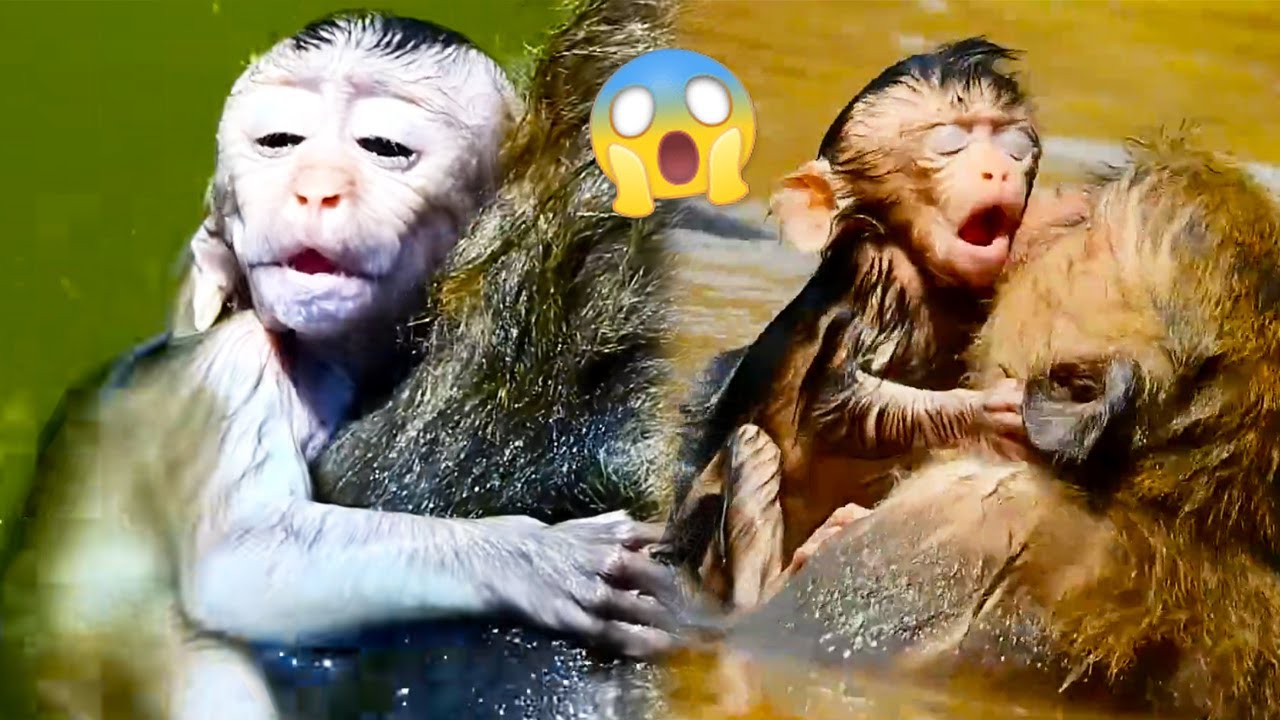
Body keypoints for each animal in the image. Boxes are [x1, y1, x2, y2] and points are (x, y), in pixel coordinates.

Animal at [0, 9, 685, 720]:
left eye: (383, 147)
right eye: (279, 142)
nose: (314, 190)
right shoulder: (243, 366)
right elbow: (236, 560)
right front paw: (535, 559)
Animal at [655, 37, 1042, 608]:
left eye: (1016, 146)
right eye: (949, 144)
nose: (998, 170)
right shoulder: (880, 277)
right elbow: (836, 404)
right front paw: (986, 411)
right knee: (751, 446)